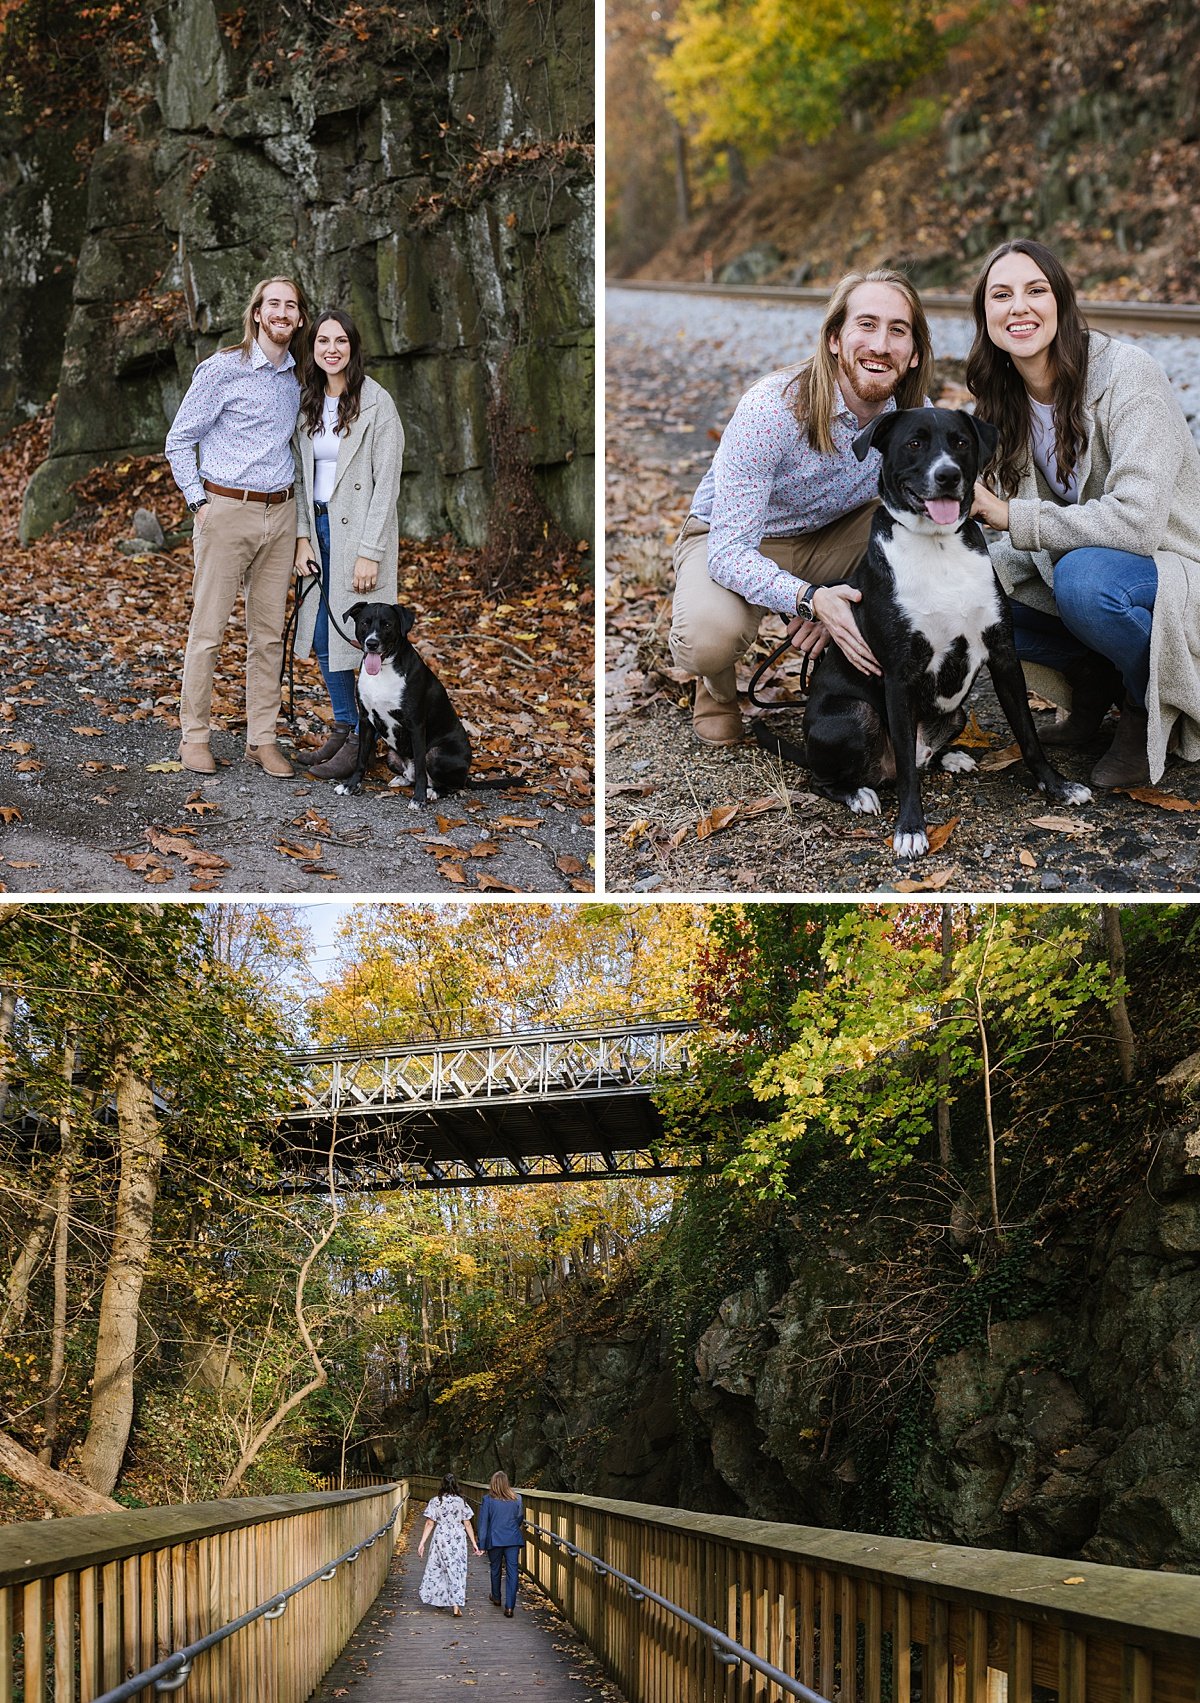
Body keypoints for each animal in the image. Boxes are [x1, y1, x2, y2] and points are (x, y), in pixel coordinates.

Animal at [335, 606, 476, 803]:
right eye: (365, 622)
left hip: (436, 754)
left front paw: (419, 798)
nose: (372, 643)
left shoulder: (416, 726)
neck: (384, 669)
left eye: (387, 625)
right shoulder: (365, 720)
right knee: (412, 775)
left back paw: (433, 791)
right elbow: (360, 758)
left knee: (451, 784)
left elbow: (421, 769)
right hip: (391, 755)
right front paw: (351, 785)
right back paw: (401, 779)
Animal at [759, 407, 1096, 858]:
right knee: (829, 777)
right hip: (854, 716)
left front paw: (1057, 786)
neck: (937, 546)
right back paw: (857, 793)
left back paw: (950, 758)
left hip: (958, 712)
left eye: (960, 442)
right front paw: (910, 828)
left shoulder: (1003, 654)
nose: (948, 475)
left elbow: (1028, 733)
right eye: (914, 443)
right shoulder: (899, 676)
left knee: (921, 758)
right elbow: (905, 770)